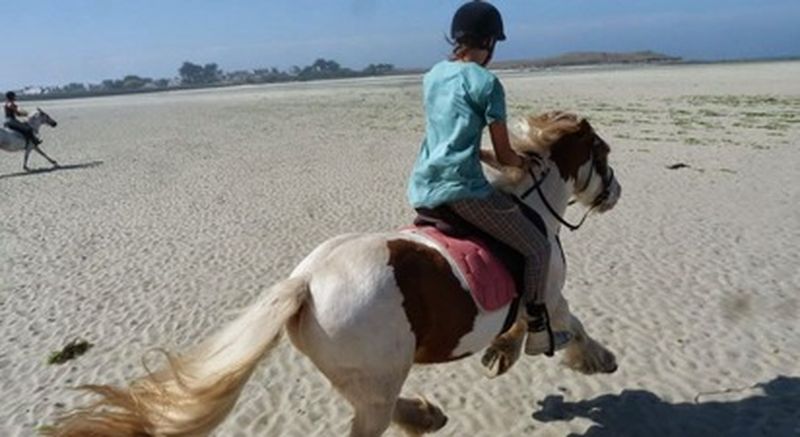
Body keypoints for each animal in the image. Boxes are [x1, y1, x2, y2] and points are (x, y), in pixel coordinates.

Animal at [48, 111, 622, 437]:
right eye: (604, 154)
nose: (614, 192)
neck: (532, 207)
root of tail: (304, 282)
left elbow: (520, 325)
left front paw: (502, 352)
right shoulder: (549, 288)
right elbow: (568, 326)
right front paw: (597, 359)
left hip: (362, 378)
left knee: (379, 408)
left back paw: (424, 416)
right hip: (376, 378)